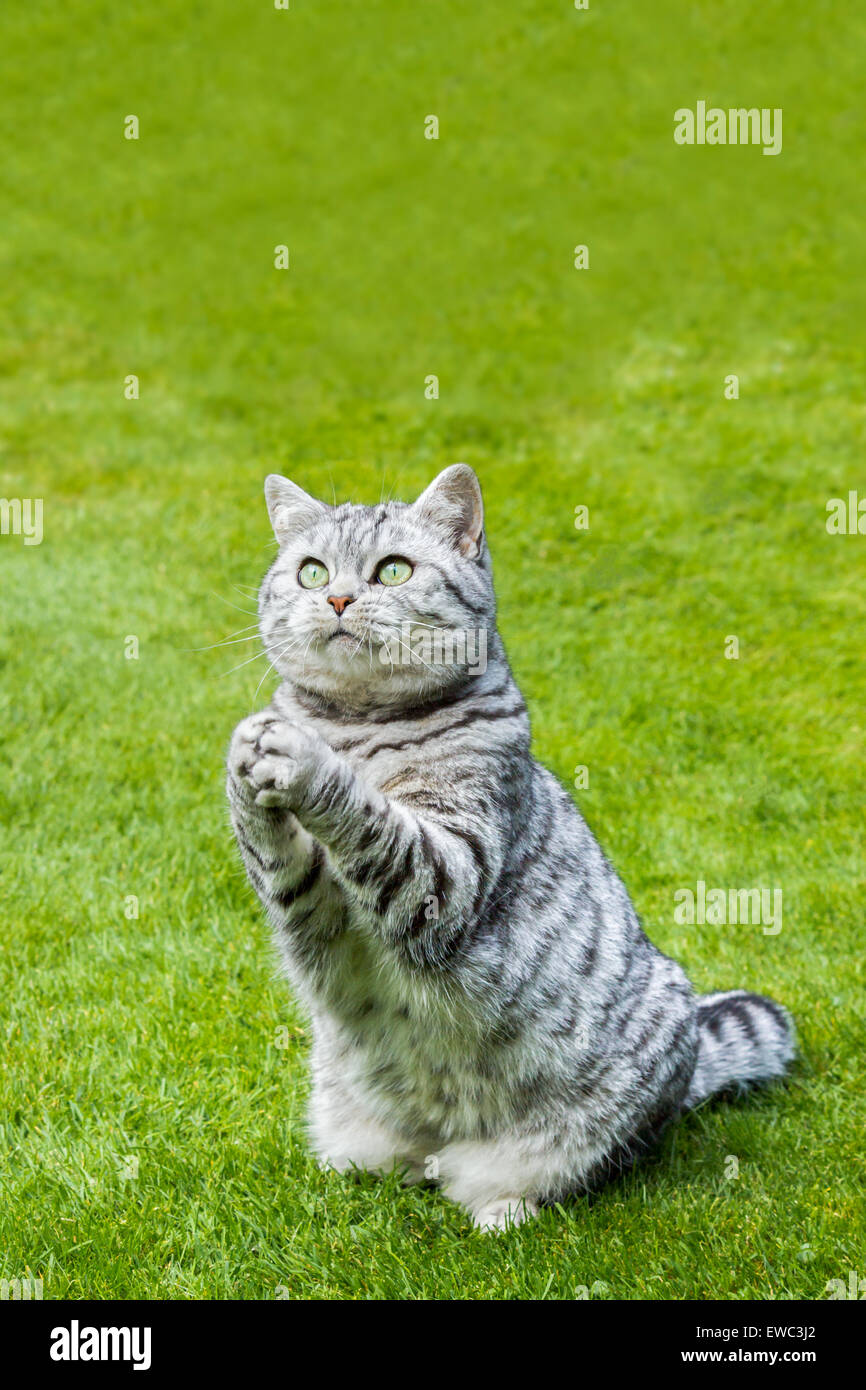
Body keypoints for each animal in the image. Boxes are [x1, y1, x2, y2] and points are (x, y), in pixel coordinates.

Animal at [226, 464, 795, 1228]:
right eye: (312, 572)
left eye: (393, 569)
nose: (339, 597)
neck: (357, 726)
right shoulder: (311, 908)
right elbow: (274, 853)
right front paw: (248, 755)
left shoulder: (446, 876)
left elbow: (371, 816)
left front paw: (306, 758)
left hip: (572, 1132)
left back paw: (501, 1210)